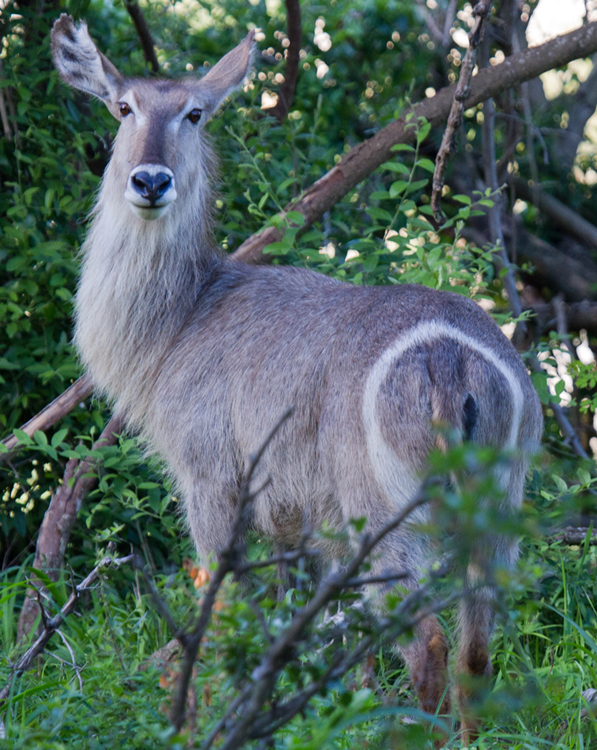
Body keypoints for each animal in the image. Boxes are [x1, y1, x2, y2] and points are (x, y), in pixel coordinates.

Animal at [53, 14, 544, 744]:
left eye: (195, 113)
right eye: (123, 107)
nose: (150, 181)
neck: (182, 318)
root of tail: (452, 359)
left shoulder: (211, 480)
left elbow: (219, 613)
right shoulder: (302, 524)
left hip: (388, 518)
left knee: (426, 643)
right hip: (496, 510)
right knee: (475, 651)